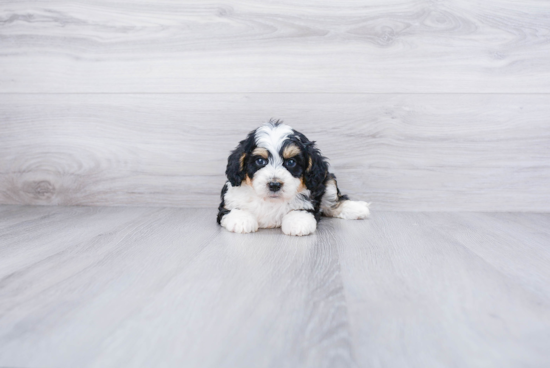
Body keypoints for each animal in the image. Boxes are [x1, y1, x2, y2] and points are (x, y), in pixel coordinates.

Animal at [217, 121, 370, 236]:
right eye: (260, 161)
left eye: (291, 162)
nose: (274, 185)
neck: (271, 201)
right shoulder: (229, 200)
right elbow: (233, 209)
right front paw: (241, 220)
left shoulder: (311, 197)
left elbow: (301, 209)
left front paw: (298, 221)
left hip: (327, 179)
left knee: (333, 201)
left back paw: (356, 208)